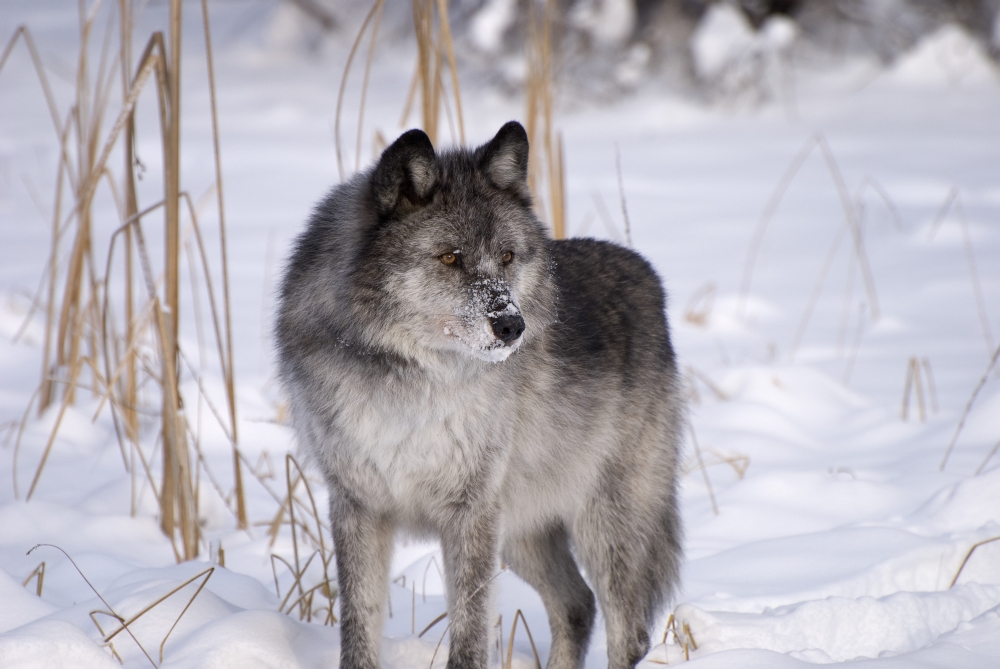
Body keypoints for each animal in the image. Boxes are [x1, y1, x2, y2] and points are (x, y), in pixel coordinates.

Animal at [275, 121, 683, 669]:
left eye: (507, 257)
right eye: (451, 257)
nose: (512, 325)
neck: (411, 383)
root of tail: (648, 275)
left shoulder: (471, 514)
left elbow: (469, 634)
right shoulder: (358, 506)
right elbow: (358, 629)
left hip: (601, 523)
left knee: (628, 631)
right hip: (522, 531)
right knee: (577, 604)